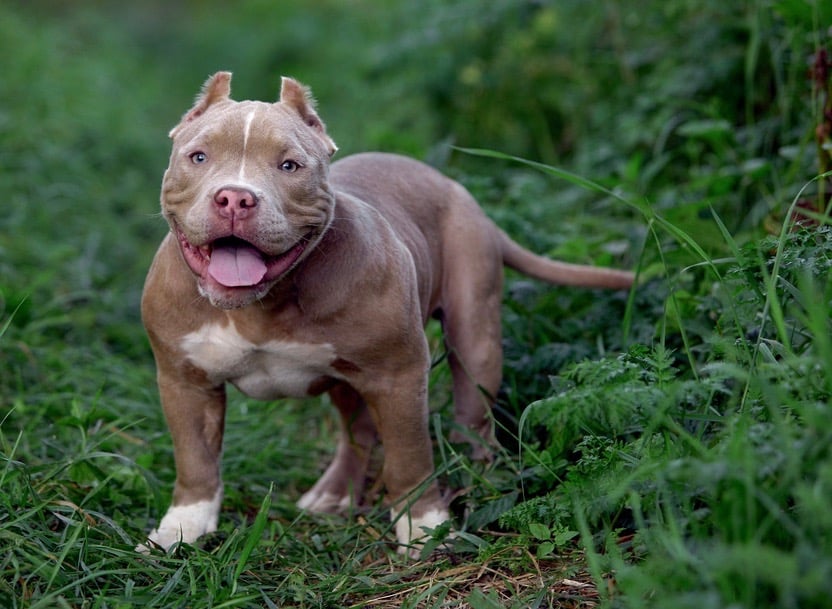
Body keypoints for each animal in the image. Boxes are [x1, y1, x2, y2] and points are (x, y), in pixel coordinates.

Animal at [138, 72, 632, 556]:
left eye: (290, 166)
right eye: (198, 156)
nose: (235, 199)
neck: (260, 305)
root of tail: (455, 189)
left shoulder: (399, 376)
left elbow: (409, 457)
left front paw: (425, 527)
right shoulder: (185, 382)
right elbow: (195, 459)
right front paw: (182, 528)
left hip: (475, 334)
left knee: (473, 419)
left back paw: (480, 480)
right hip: (346, 379)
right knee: (356, 432)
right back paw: (334, 493)